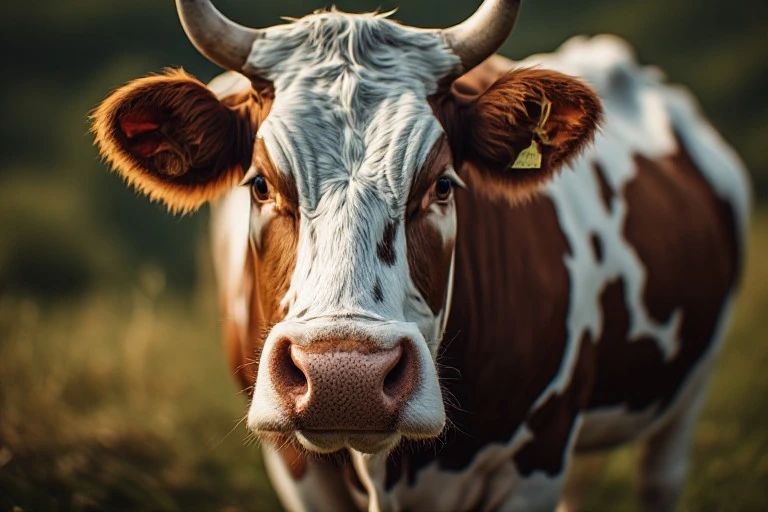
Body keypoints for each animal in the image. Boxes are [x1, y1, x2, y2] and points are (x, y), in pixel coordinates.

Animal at [91, 0, 751, 510]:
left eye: (442, 185)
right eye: (259, 184)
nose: (344, 380)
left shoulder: (536, 460)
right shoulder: (296, 470)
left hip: (689, 394)